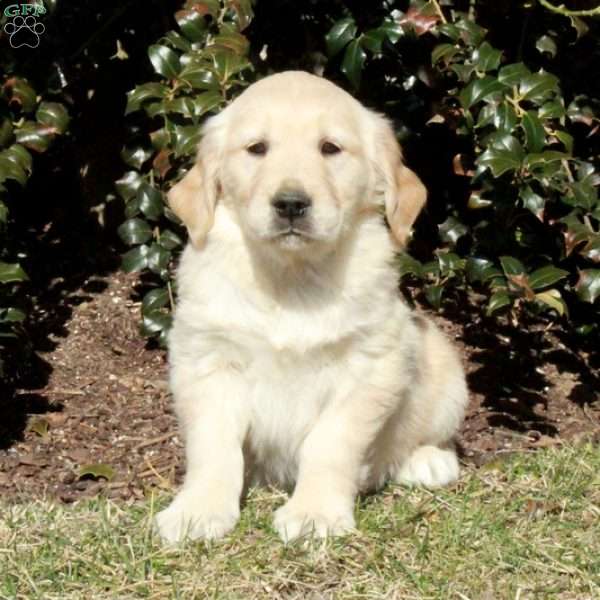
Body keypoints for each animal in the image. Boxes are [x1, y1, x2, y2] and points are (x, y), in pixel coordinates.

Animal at [156, 70, 468, 544]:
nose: (290, 204)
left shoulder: (371, 364)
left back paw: (428, 460)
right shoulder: (209, 360)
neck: (292, 277)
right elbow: (213, 446)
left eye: (330, 148)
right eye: (257, 148)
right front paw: (198, 510)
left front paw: (314, 512)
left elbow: (330, 444)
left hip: (445, 368)